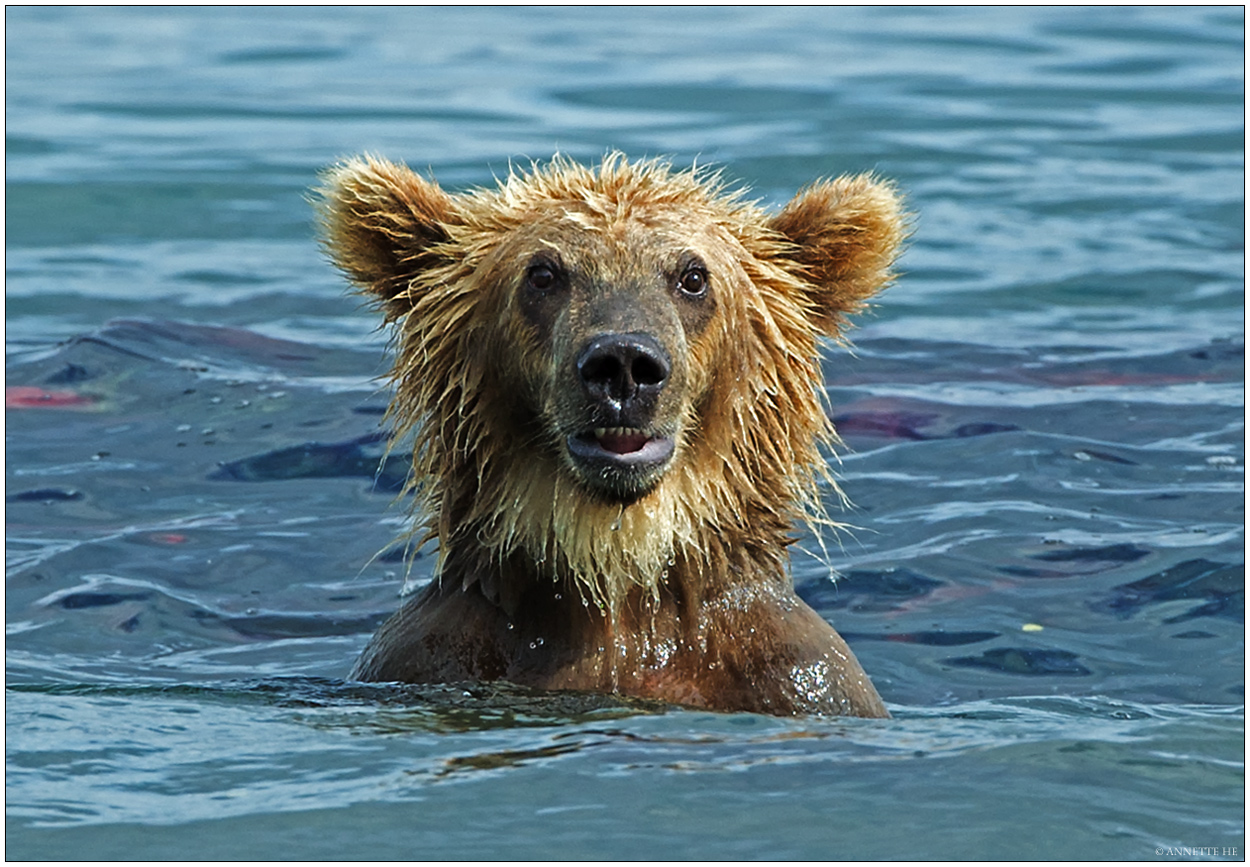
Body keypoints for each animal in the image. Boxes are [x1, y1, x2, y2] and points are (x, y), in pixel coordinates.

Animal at [317, 151, 905, 719]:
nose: (622, 363)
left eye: (693, 276)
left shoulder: (797, 677)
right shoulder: (431, 656)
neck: (618, 582)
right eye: (543, 273)